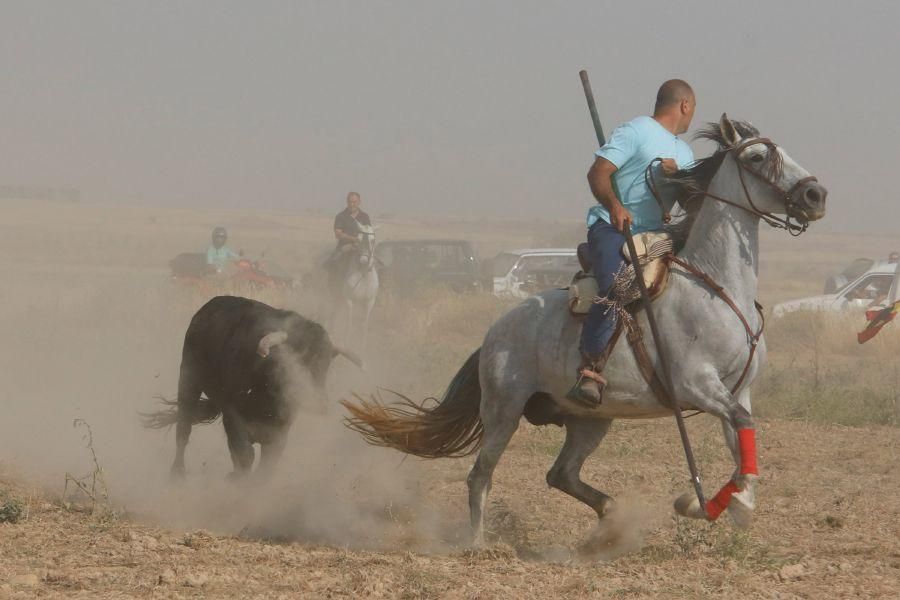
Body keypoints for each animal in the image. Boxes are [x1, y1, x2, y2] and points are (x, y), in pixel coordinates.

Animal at [144, 296, 362, 478]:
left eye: (326, 364)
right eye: (296, 360)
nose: (319, 403)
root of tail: (204, 311)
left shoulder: (281, 427)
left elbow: (268, 463)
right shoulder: (232, 412)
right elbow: (244, 452)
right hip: (189, 382)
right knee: (183, 428)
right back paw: (177, 472)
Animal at [344, 115, 828, 548]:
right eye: (758, 157)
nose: (815, 194)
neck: (715, 286)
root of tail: (495, 331)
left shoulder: (737, 391)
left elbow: (742, 444)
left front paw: (718, 503)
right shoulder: (696, 384)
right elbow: (741, 434)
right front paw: (716, 503)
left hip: (590, 419)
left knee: (560, 473)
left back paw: (610, 520)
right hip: (503, 410)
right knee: (480, 473)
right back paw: (477, 544)